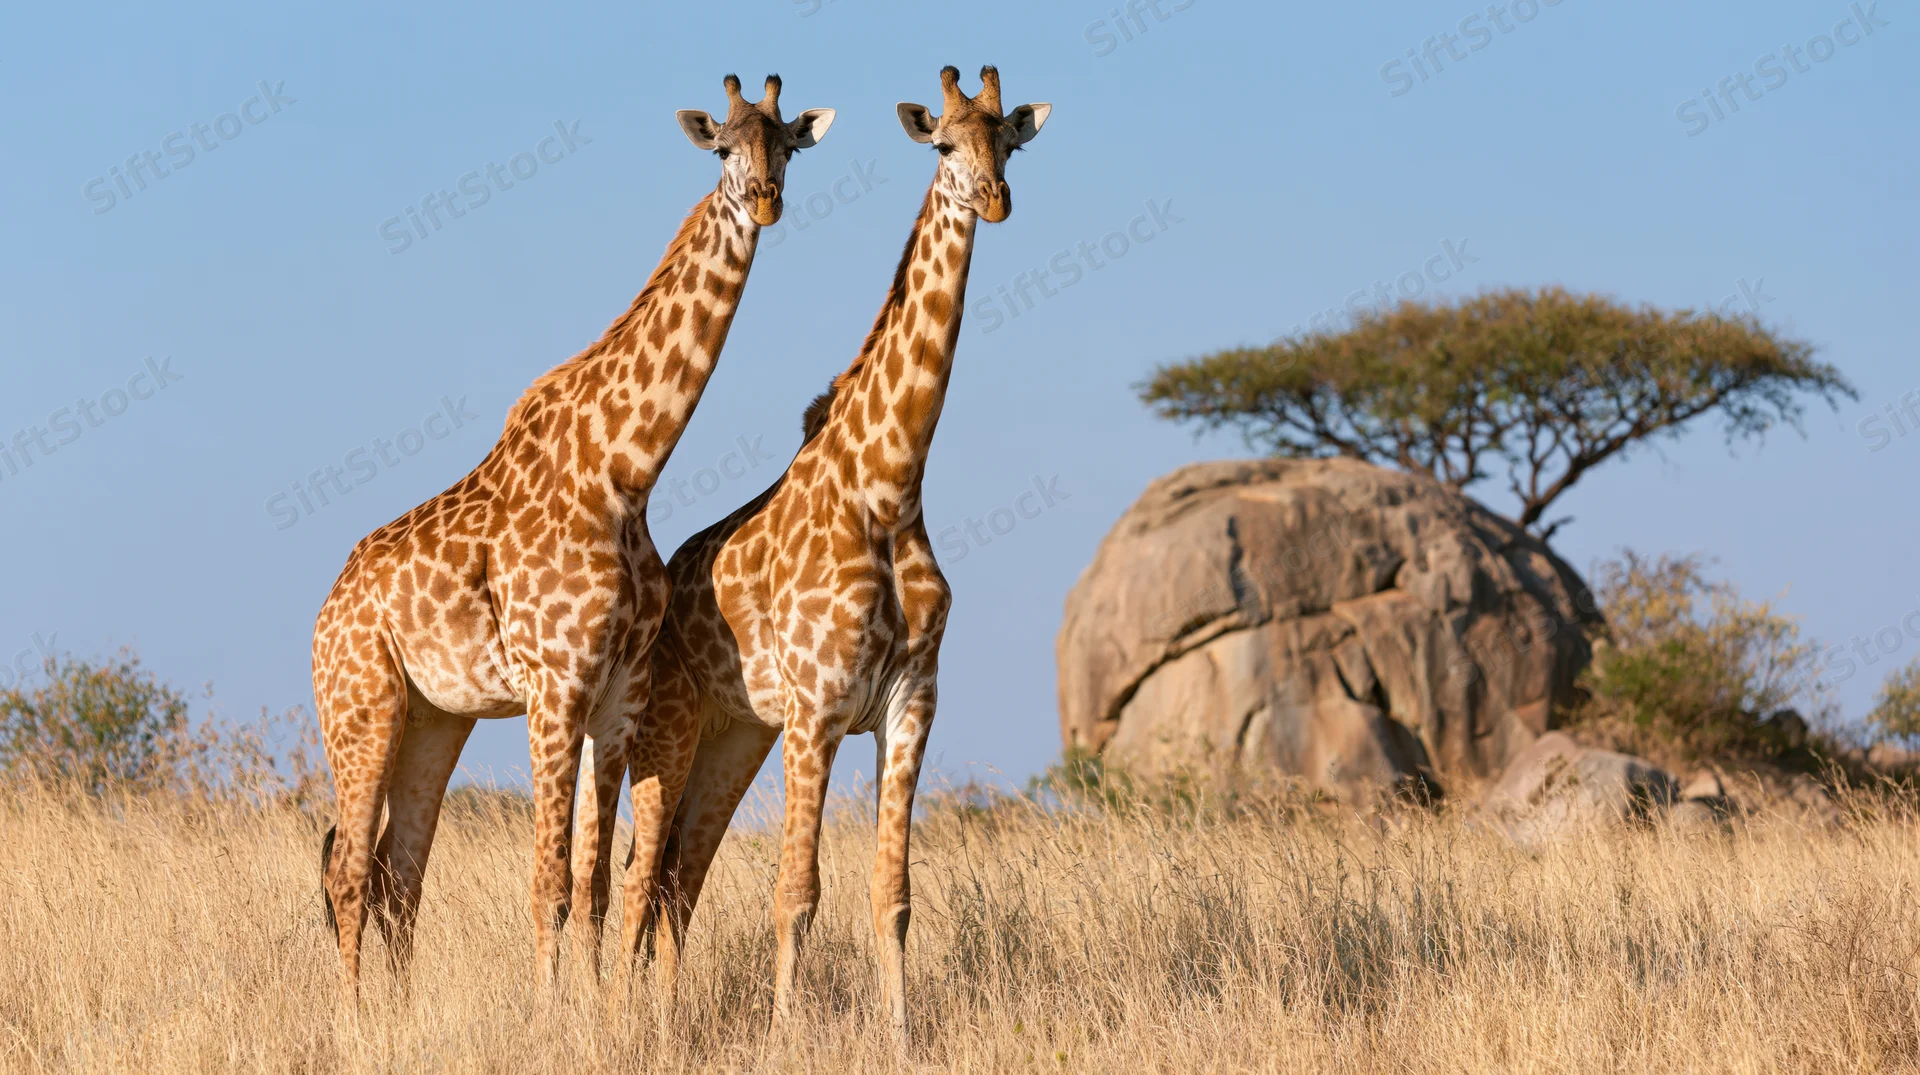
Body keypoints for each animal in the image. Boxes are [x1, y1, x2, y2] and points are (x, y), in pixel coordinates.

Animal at [311, 74, 834, 992]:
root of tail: (321, 617)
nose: (766, 200)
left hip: (432, 719)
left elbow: (591, 883)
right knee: (346, 872)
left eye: (787, 148)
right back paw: (352, 1016)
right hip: (360, 705)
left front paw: (593, 1007)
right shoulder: (555, 683)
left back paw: (396, 1011)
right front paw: (552, 1012)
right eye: (722, 147)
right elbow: (549, 883)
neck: (625, 467)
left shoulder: (616, 690)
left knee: (395, 874)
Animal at [618, 66, 1049, 1040]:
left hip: (734, 735)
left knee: (678, 881)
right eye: (943, 144)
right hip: (668, 724)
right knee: (638, 880)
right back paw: (625, 1023)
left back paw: (665, 1018)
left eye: (1008, 140)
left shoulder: (910, 702)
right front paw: (786, 1036)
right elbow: (796, 892)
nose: (996, 200)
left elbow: (893, 895)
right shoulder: (815, 709)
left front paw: (902, 1034)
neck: (888, 487)